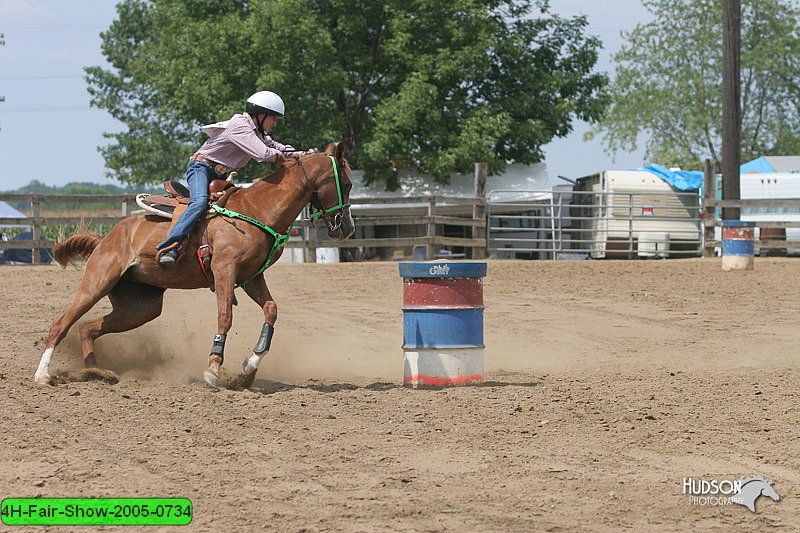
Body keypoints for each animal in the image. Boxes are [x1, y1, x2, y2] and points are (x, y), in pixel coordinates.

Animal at [34, 142, 354, 386]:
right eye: (348, 184)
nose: (348, 228)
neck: (257, 209)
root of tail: (106, 238)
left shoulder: (251, 277)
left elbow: (271, 310)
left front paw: (250, 367)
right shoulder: (224, 269)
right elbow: (225, 315)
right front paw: (213, 369)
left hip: (140, 307)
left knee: (87, 328)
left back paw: (95, 371)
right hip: (98, 282)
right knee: (62, 324)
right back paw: (43, 375)